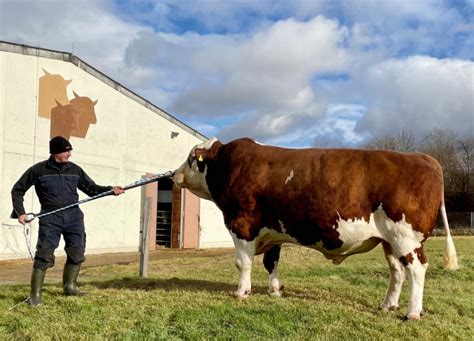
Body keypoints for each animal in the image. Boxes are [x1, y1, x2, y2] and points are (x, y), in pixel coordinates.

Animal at [172, 137, 458, 318]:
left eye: (191, 158)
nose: (174, 175)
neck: (228, 165)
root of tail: (426, 158)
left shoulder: (241, 225)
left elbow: (243, 263)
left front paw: (242, 292)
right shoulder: (273, 232)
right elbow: (271, 262)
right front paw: (275, 291)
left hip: (406, 237)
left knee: (417, 270)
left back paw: (412, 312)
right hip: (390, 241)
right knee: (397, 272)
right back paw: (388, 305)